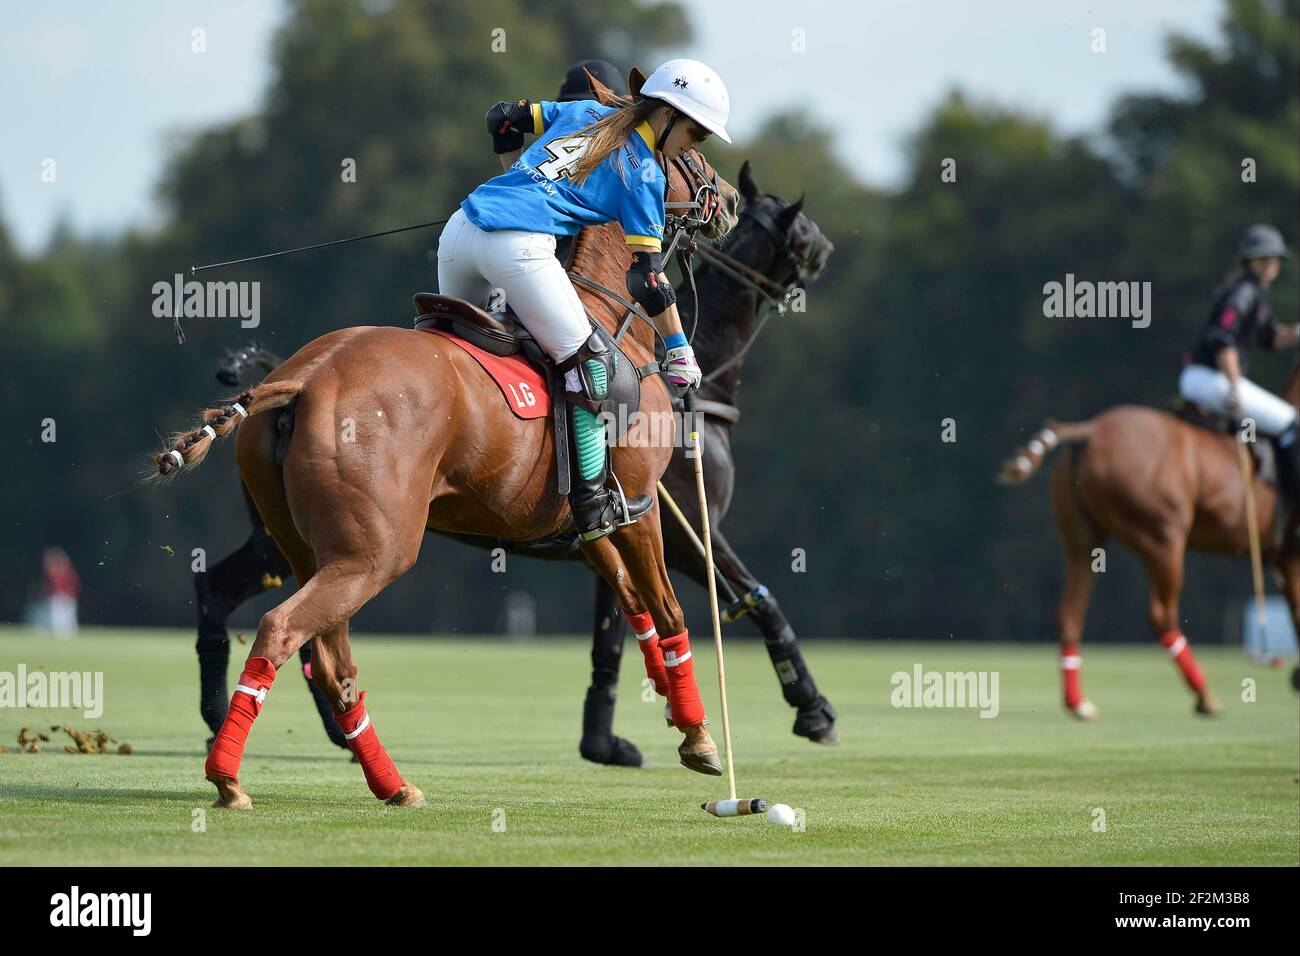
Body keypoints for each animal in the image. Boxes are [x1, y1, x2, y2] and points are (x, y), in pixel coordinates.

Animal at [195, 160, 842, 764]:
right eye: (802, 232)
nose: (727, 202)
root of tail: (297, 379)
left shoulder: (608, 524)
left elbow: (621, 627)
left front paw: (609, 737)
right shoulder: (672, 523)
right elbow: (749, 600)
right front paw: (810, 709)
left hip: (286, 540)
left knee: (226, 593)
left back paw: (234, 719)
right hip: (345, 545)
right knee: (289, 621)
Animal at [998, 364, 1294, 717]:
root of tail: (1090, 429)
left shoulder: (1283, 557)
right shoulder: (1291, 554)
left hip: (1083, 542)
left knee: (1070, 612)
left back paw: (1079, 703)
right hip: (1163, 539)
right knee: (1161, 614)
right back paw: (1205, 695)